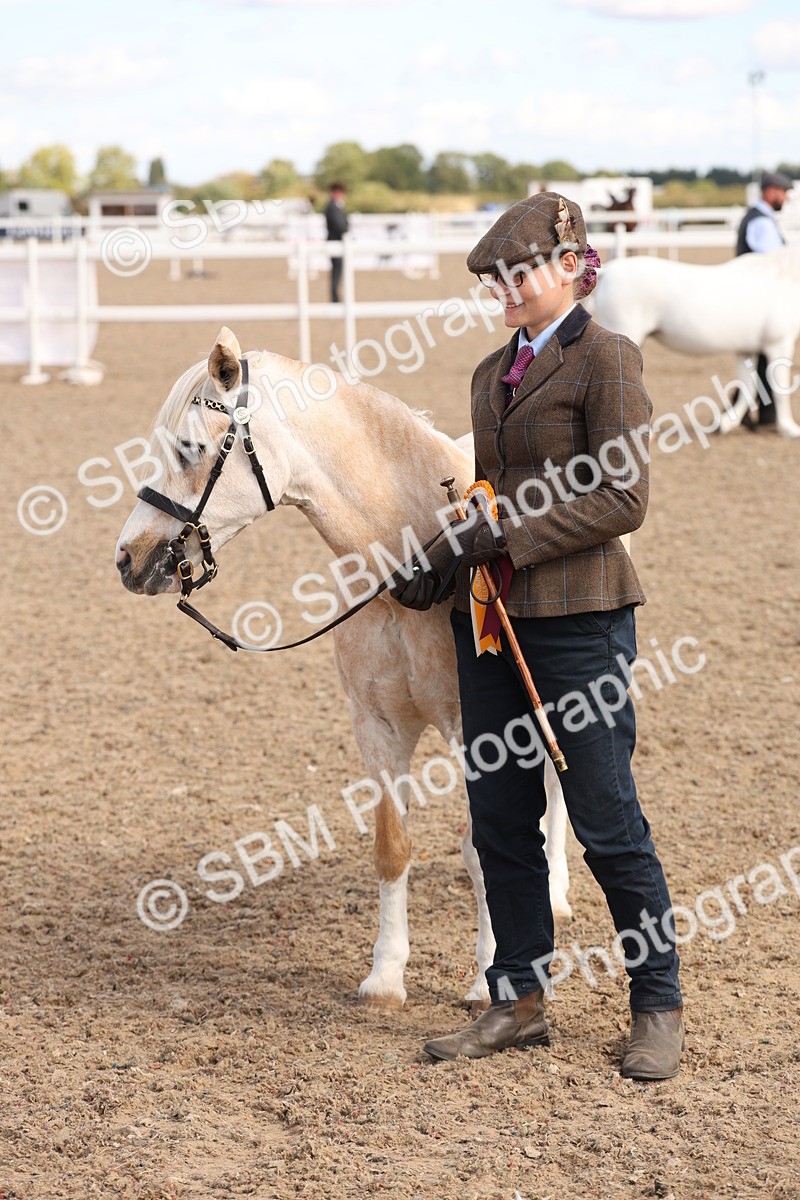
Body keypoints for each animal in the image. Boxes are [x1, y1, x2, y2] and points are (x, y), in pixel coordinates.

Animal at [115, 327, 572, 1011]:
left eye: (190, 447)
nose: (127, 557)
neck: (417, 568)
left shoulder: (479, 732)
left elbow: (484, 844)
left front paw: (489, 977)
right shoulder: (376, 726)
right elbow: (392, 846)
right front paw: (385, 977)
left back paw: (560, 894)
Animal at [589, 246, 800, 439]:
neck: (782, 278)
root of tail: (608, 273)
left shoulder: (746, 350)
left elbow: (747, 387)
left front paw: (726, 424)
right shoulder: (779, 345)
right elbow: (778, 388)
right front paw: (789, 429)